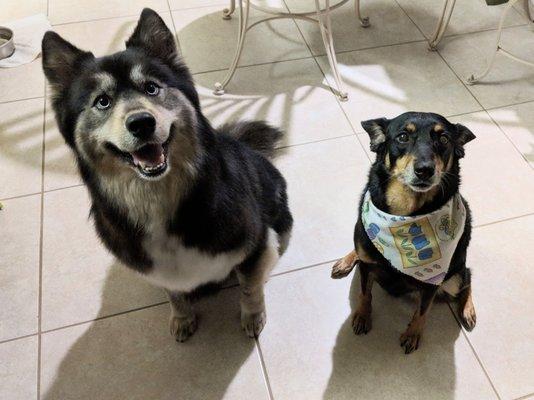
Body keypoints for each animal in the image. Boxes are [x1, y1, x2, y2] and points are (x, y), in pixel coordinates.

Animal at [42, 8, 294, 340]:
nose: (141, 123)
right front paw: (183, 317)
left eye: (151, 87)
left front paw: (253, 316)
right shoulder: (159, 269)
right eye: (102, 101)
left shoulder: (254, 242)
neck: (157, 199)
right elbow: (174, 294)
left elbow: (250, 287)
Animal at [336, 111, 478, 354]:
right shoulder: (367, 265)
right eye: (403, 137)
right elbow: (365, 293)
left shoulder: (431, 283)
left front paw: (412, 334)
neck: (407, 214)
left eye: (444, 139)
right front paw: (362, 316)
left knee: (467, 279)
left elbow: (422, 311)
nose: (425, 169)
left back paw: (468, 311)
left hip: (453, 277)